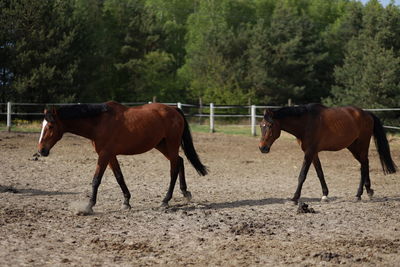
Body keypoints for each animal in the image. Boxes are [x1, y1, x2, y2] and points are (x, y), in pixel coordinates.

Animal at [37, 101, 208, 215]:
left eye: (50, 126)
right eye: (42, 125)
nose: (41, 151)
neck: (99, 122)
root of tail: (174, 109)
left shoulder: (104, 154)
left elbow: (96, 180)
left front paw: (89, 206)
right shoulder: (111, 155)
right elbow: (119, 177)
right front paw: (126, 201)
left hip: (171, 144)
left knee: (173, 169)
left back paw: (165, 200)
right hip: (161, 145)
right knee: (179, 161)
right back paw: (185, 192)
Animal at [260, 104, 396, 203]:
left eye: (270, 125)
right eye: (261, 126)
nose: (262, 148)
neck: (306, 122)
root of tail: (367, 113)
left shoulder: (309, 153)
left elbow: (302, 175)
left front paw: (295, 198)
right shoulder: (313, 153)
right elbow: (320, 173)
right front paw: (325, 195)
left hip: (362, 146)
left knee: (363, 166)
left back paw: (360, 194)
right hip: (353, 147)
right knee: (365, 164)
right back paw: (367, 191)